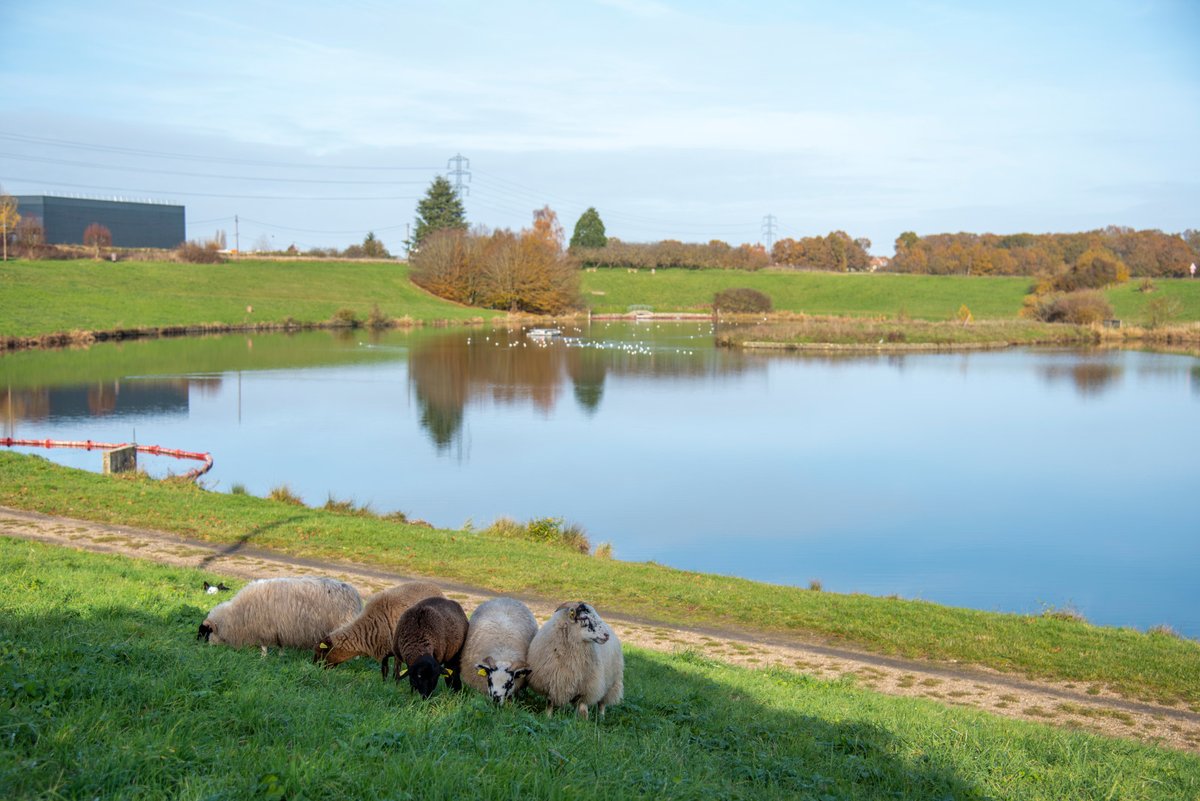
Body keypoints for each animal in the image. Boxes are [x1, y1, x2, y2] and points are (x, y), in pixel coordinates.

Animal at [197, 577, 362, 654]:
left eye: (205, 632)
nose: (196, 645)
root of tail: (355, 594)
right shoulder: (279, 629)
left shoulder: (265, 628)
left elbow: (264, 647)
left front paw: (264, 657)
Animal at [314, 581, 443, 679]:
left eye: (323, 651)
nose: (315, 666)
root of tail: (436, 587)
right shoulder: (384, 649)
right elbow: (385, 668)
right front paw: (384, 682)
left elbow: (396, 667)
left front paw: (395, 682)